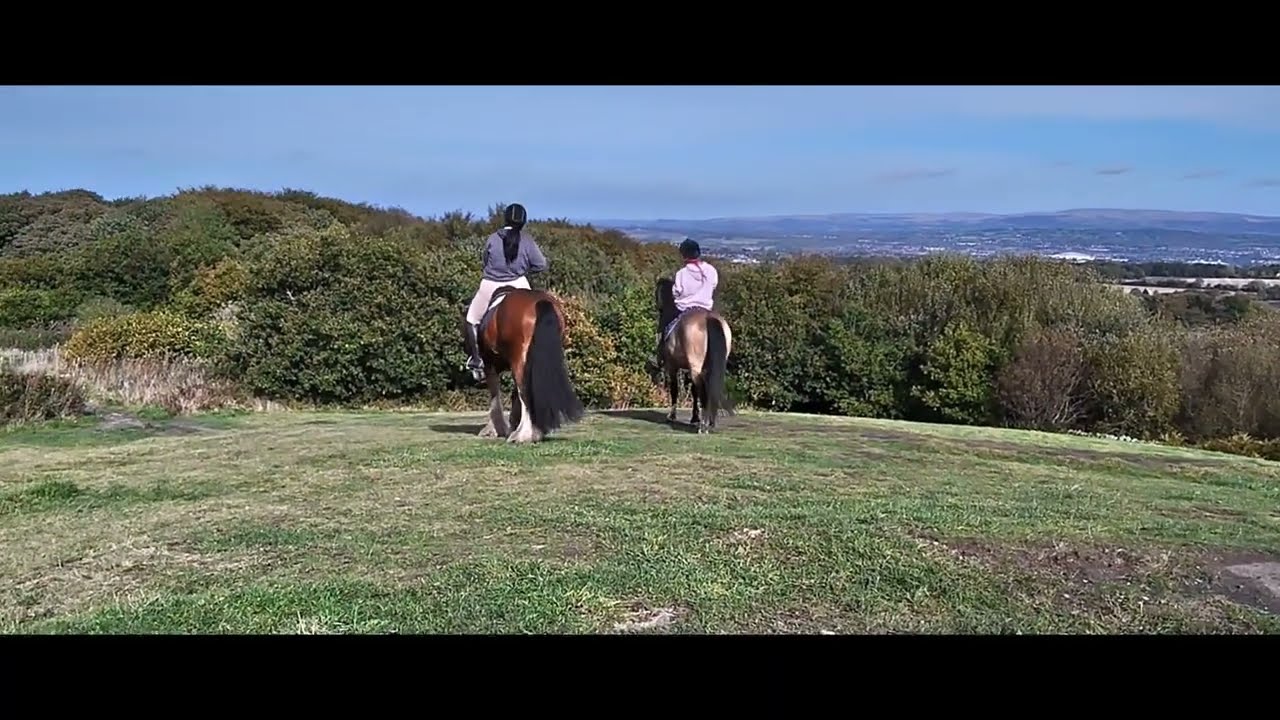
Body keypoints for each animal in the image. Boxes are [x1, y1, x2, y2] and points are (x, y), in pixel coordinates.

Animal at [460, 286, 585, 444]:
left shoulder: (490, 365)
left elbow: (495, 396)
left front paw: (495, 429)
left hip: (517, 359)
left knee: (524, 391)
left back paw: (522, 435)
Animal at [654, 278, 734, 433]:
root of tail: (708, 318)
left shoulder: (672, 367)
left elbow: (675, 389)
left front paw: (672, 416)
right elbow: (693, 391)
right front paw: (694, 418)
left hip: (695, 367)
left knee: (703, 390)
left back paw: (703, 425)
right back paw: (709, 422)